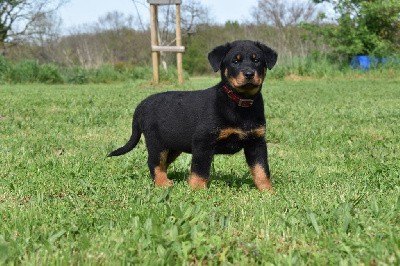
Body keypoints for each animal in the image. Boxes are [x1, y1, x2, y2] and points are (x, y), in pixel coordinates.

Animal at [109, 39, 278, 190]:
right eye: (235, 61)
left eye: (257, 60)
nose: (249, 73)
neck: (240, 102)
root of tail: (141, 105)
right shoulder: (202, 142)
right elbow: (200, 169)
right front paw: (197, 190)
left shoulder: (256, 142)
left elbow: (262, 169)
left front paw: (267, 191)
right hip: (156, 142)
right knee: (154, 163)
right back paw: (162, 184)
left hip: (173, 144)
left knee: (163, 163)